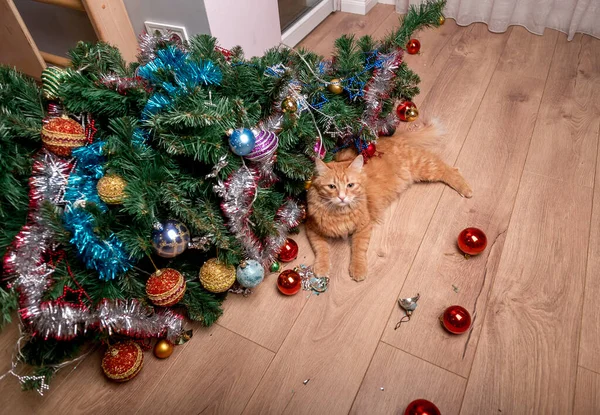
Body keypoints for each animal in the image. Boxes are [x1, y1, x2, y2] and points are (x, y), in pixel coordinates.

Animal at [308, 122, 472, 282]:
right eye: (332, 187)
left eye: (350, 185)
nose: (342, 197)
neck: (339, 213)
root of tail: (389, 139)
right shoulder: (313, 229)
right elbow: (321, 249)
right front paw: (322, 267)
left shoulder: (364, 226)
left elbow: (358, 249)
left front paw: (358, 269)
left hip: (423, 167)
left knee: (449, 169)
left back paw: (465, 189)